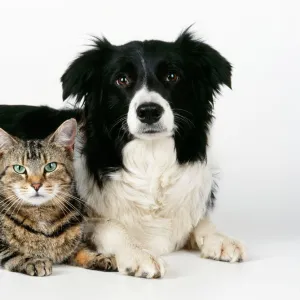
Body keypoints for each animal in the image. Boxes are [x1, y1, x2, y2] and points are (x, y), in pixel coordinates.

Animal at [0, 118, 116, 276]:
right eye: (19, 168)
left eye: (51, 166)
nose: (36, 184)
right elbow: (12, 252)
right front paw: (33, 260)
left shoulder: (74, 245)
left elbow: (82, 249)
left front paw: (99, 257)